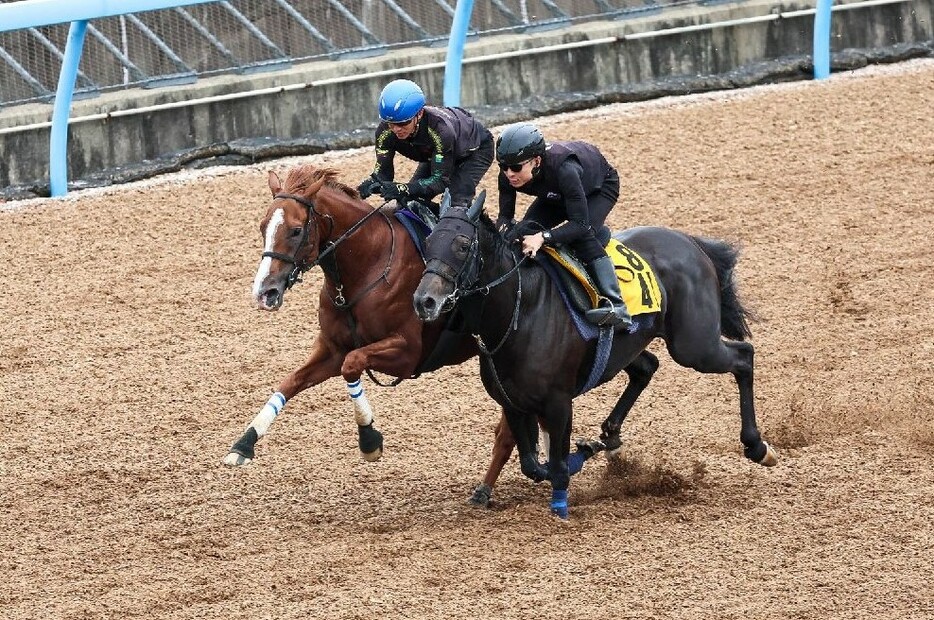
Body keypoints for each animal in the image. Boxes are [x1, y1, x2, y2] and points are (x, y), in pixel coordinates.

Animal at [224, 165, 478, 464]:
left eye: (296, 231)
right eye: (263, 226)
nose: (264, 292)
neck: (368, 266)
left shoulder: (408, 352)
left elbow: (351, 364)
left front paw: (368, 439)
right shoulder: (333, 348)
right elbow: (291, 380)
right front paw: (245, 442)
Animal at [414, 195, 780, 520]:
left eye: (462, 244)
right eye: (429, 241)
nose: (424, 301)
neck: (521, 311)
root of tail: (690, 241)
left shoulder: (558, 402)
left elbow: (556, 464)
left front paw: (561, 502)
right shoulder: (513, 403)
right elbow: (533, 465)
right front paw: (584, 451)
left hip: (694, 345)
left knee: (744, 356)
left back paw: (758, 447)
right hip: (634, 345)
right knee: (647, 367)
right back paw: (610, 435)